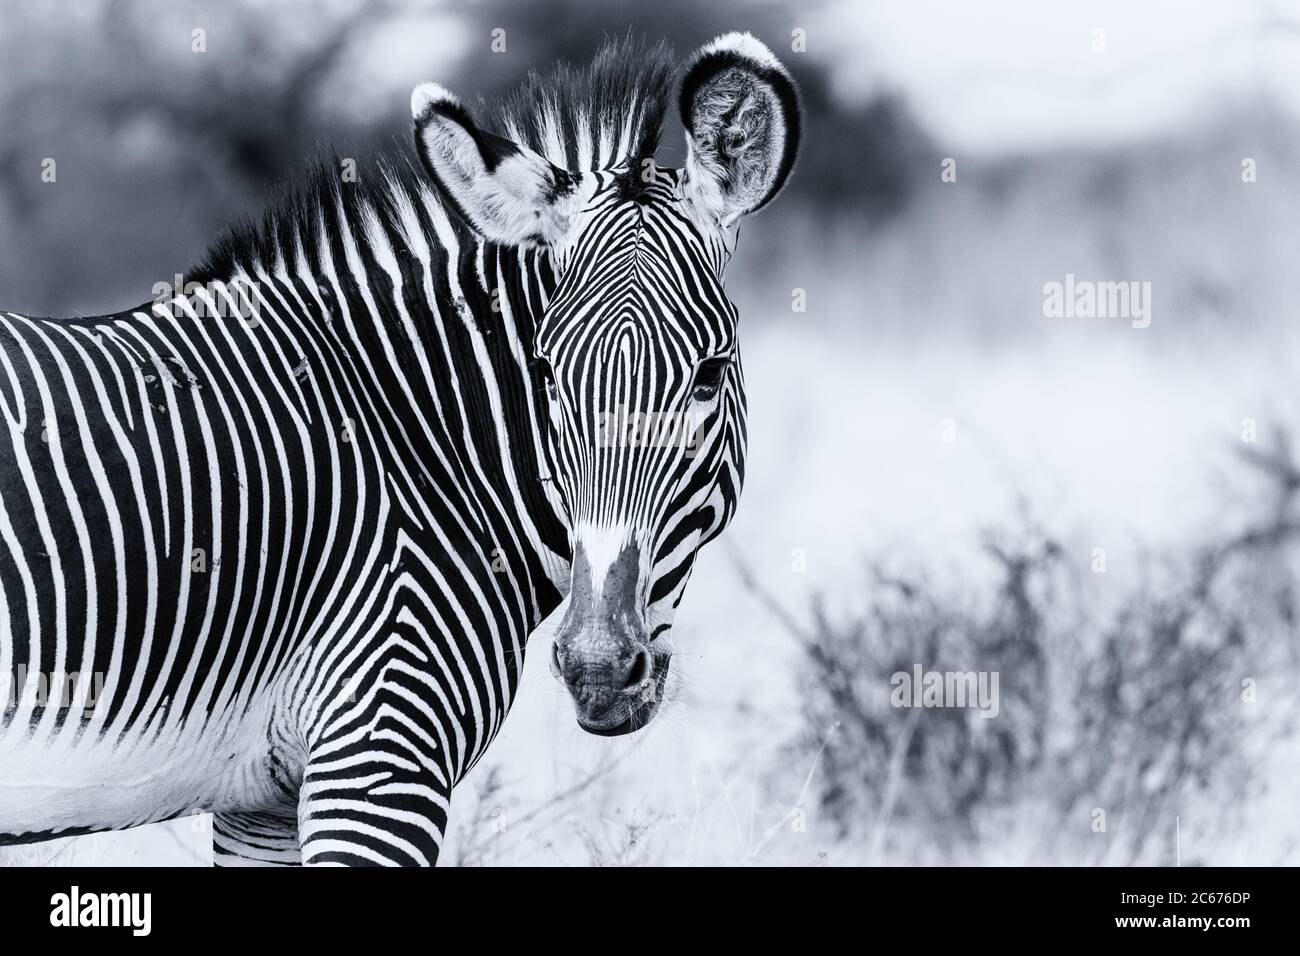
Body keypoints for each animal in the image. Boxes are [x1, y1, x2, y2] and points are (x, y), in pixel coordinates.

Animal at [0, 32, 800, 865]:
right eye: (547, 373)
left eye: (709, 376)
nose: (599, 671)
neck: (413, 449)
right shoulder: (380, 751)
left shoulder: (264, 802)